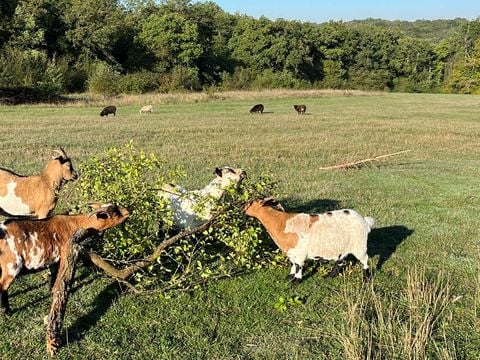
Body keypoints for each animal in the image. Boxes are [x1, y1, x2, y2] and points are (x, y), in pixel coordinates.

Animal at [0, 202, 129, 316]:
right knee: (3, 287)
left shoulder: (53, 259)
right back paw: (7, 312)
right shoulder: (65, 254)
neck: (73, 223)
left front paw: (51, 290)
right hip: (11, 265)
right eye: (115, 213)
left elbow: (53, 275)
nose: (128, 212)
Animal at [244, 198, 376, 282]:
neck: (282, 223)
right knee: (340, 261)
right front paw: (289, 277)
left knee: (365, 260)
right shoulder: (291, 252)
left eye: (251, 202)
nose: (241, 205)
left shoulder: (300, 253)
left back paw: (366, 278)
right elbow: (293, 265)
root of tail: (365, 220)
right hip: (343, 248)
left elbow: (298, 267)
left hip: (359, 246)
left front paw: (295, 282)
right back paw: (329, 276)